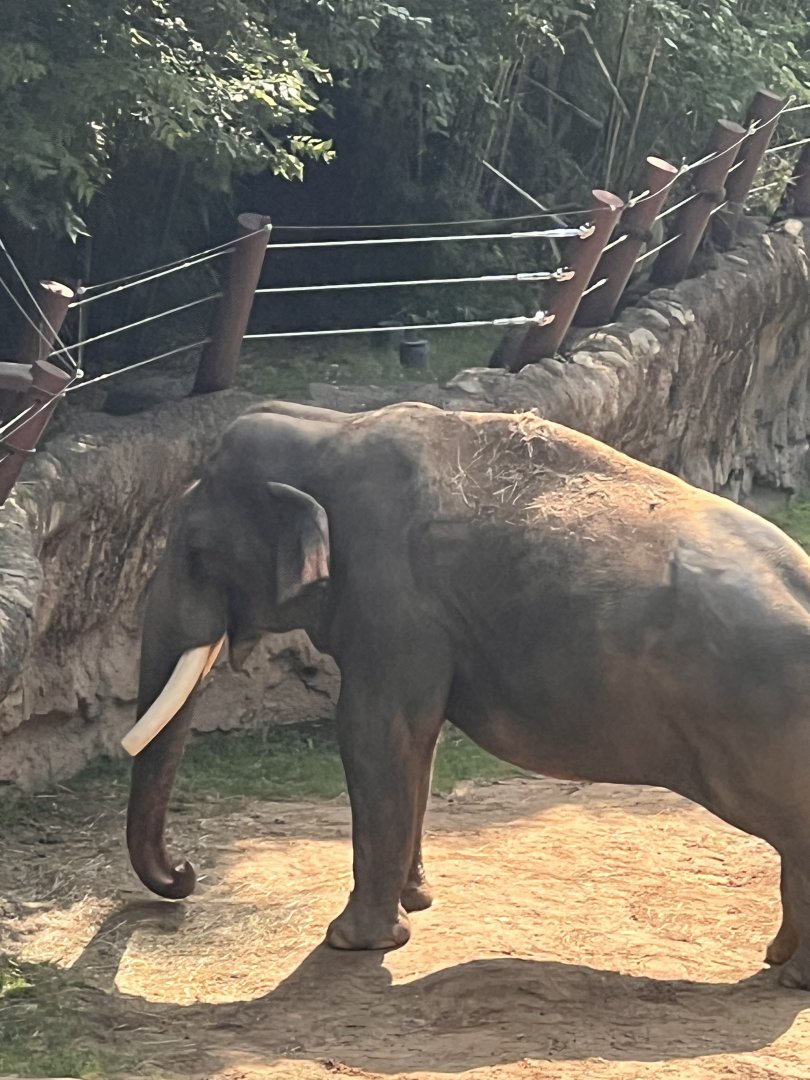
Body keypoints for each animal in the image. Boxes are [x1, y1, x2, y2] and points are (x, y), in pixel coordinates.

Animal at [122, 398, 810, 989]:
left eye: (196, 551)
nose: (186, 873)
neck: (334, 428)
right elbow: (416, 743)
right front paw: (417, 901)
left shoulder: (391, 597)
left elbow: (375, 733)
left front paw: (351, 941)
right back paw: (779, 960)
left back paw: (791, 977)